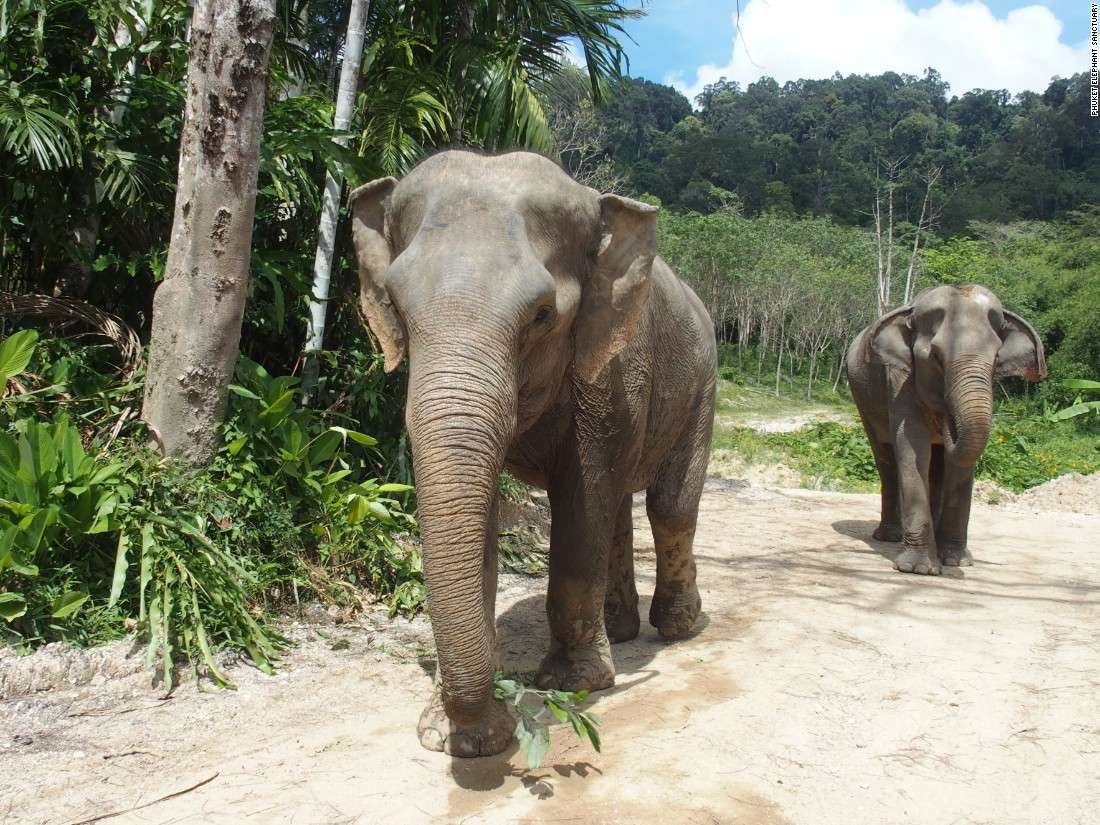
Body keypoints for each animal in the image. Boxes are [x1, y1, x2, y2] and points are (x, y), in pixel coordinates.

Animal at [348, 150, 717, 757]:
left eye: (543, 314)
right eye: (396, 307)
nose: (494, 715)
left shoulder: (609, 367)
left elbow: (582, 500)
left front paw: (574, 684)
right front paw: (459, 738)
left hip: (702, 386)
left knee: (668, 505)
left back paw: (679, 627)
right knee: (620, 508)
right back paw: (620, 631)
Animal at [845, 284, 1045, 575]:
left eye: (996, 358)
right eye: (936, 358)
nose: (946, 421)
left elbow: (958, 465)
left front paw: (956, 562)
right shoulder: (899, 378)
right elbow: (912, 446)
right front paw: (918, 569)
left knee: (937, 466)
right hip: (864, 401)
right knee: (886, 457)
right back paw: (890, 537)